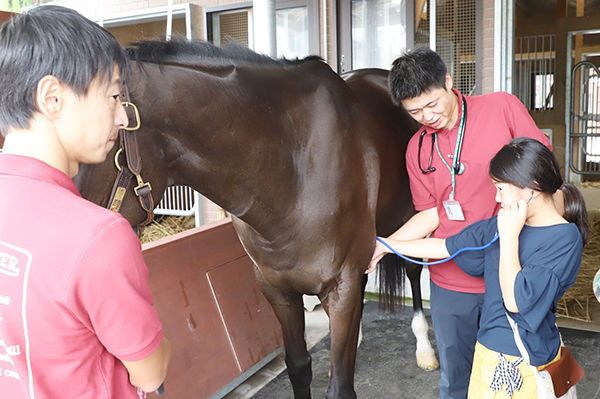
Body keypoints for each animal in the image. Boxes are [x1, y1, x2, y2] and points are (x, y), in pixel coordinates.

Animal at [75, 38, 438, 399]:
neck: (292, 169)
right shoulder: (277, 290)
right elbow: (299, 367)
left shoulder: (341, 285)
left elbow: (339, 387)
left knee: (413, 273)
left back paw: (424, 348)